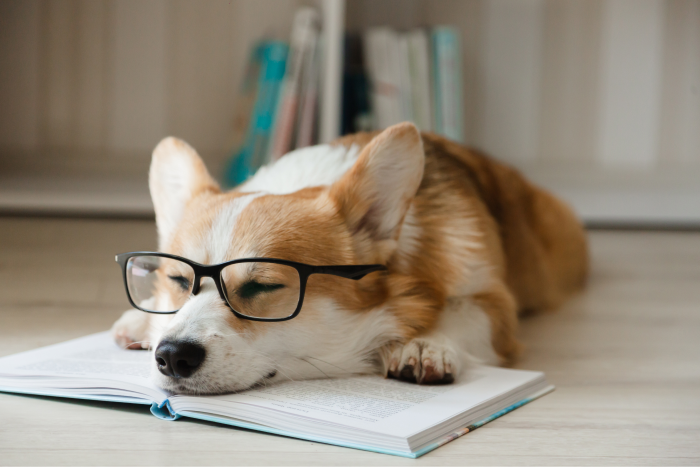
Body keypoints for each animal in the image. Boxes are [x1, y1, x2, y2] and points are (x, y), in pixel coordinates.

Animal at [112, 123, 588, 394]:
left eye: (264, 286)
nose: (172, 356)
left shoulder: (494, 305)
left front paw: (425, 344)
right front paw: (146, 317)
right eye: (178, 281)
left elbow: (461, 313)